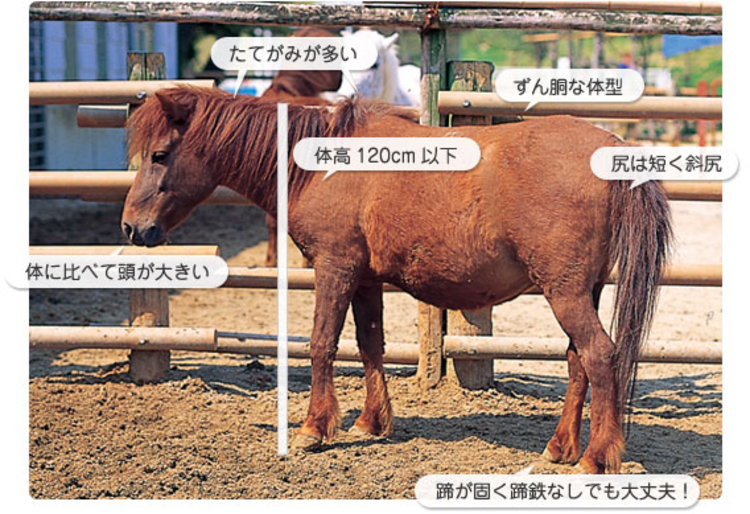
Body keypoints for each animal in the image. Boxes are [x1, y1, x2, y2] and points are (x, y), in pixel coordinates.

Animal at [121, 86, 671, 474]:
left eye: (161, 155)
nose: (132, 228)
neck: (317, 165)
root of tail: (612, 146)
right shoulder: (364, 279)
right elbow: (370, 345)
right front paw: (372, 422)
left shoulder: (334, 267)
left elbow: (321, 344)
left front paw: (314, 428)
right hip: (582, 290)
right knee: (579, 361)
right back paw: (559, 448)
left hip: (565, 292)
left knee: (599, 356)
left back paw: (596, 458)